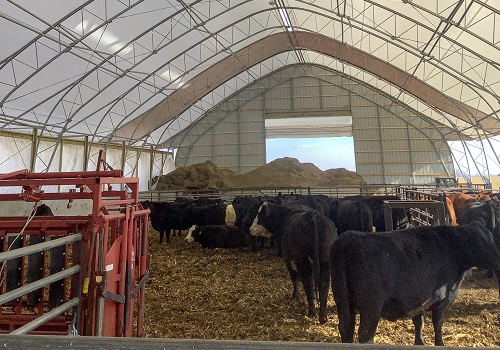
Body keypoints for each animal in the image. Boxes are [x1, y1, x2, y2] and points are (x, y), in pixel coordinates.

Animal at [332, 221, 500, 344]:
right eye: (478, 240)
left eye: (492, 237)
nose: (497, 259)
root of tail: (348, 237)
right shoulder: (442, 300)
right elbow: (437, 324)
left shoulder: (418, 300)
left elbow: (419, 323)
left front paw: (420, 343)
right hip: (371, 308)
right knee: (365, 334)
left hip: (343, 302)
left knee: (346, 327)